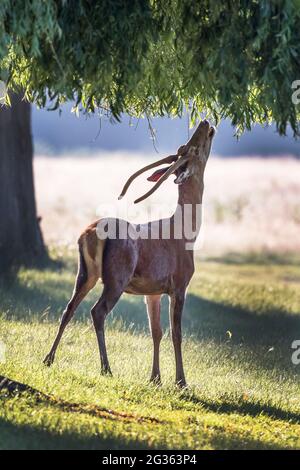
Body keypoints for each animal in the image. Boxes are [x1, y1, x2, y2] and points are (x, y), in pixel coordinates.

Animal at [43, 119, 214, 388]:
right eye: (193, 149)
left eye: (185, 148)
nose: (205, 122)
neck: (187, 234)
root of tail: (91, 232)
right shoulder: (180, 283)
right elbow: (176, 333)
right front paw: (181, 382)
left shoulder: (153, 290)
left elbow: (156, 332)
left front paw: (155, 378)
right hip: (117, 275)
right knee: (97, 311)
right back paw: (106, 368)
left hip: (85, 272)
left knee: (68, 308)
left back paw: (48, 358)